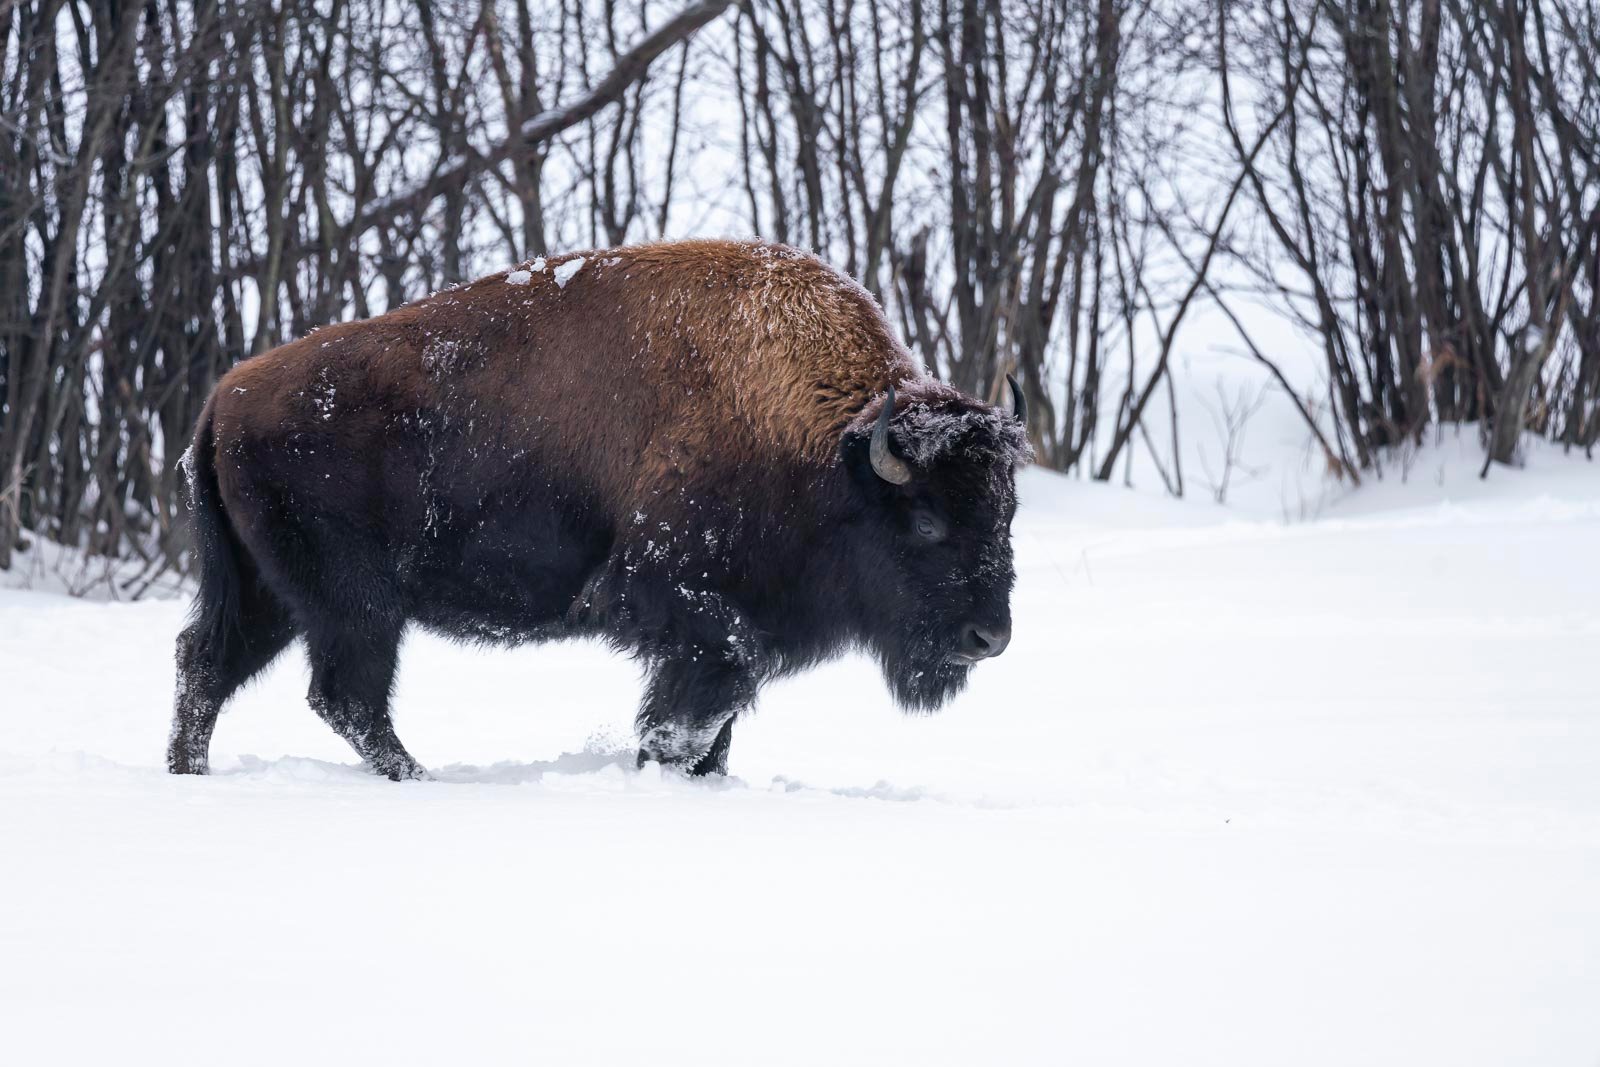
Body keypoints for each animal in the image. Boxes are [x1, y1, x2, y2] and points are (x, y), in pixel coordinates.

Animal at [168, 238, 1030, 780]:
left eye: (1004, 513)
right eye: (926, 520)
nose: (989, 638)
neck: (829, 449)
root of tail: (223, 397)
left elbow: (718, 723)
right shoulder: (677, 601)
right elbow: (698, 708)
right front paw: (657, 766)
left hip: (273, 596)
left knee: (207, 665)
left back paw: (191, 774)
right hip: (355, 603)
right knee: (344, 695)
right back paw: (419, 779)